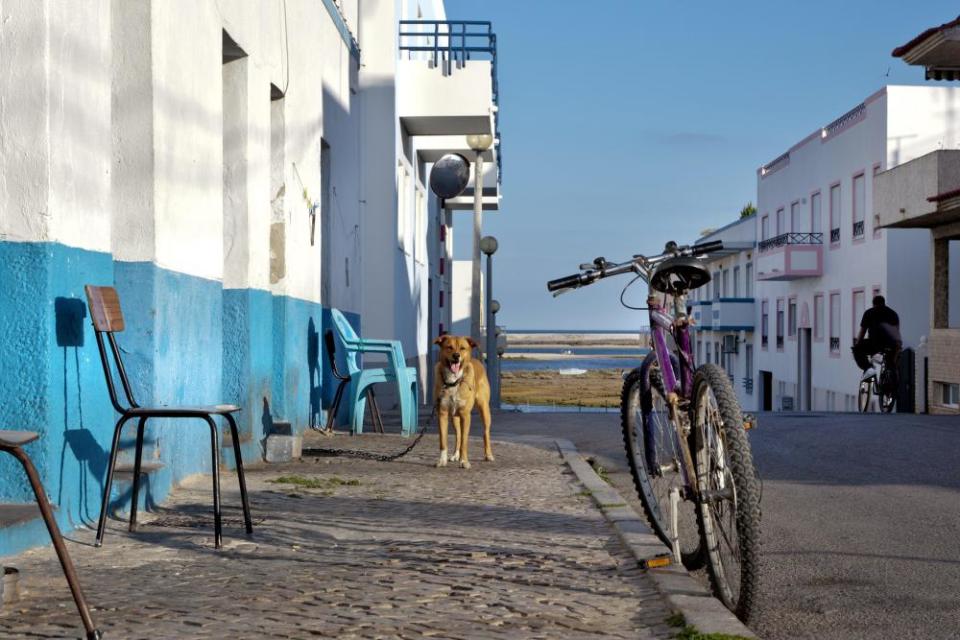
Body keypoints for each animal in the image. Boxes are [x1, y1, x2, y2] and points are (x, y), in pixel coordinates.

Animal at [436, 338, 496, 468]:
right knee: (458, 435)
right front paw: (442, 461)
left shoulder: (465, 415)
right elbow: (443, 440)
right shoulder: (442, 413)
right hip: (454, 417)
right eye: (449, 347)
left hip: (484, 409)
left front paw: (464, 462)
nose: (456, 355)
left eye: (462, 348)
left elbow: (464, 441)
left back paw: (488, 455)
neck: (453, 382)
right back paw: (455, 455)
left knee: (485, 433)